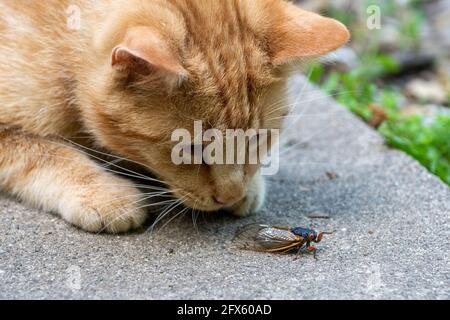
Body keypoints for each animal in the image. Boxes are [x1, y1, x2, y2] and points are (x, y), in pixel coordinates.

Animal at [0, 0, 348, 232]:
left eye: (258, 139)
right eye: (189, 149)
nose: (230, 194)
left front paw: (251, 185)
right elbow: (47, 153)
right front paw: (104, 193)